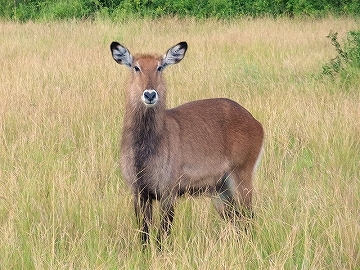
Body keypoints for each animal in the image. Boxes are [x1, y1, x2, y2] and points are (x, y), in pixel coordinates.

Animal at [109, 40, 264, 247]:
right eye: (136, 67)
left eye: (160, 67)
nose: (150, 94)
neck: (144, 151)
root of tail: (254, 121)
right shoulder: (139, 193)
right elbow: (144, 235)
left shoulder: (168, 193)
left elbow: (162, 235)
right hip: (220, 190)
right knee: (238, 222)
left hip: (241, 178)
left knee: (249, 219)